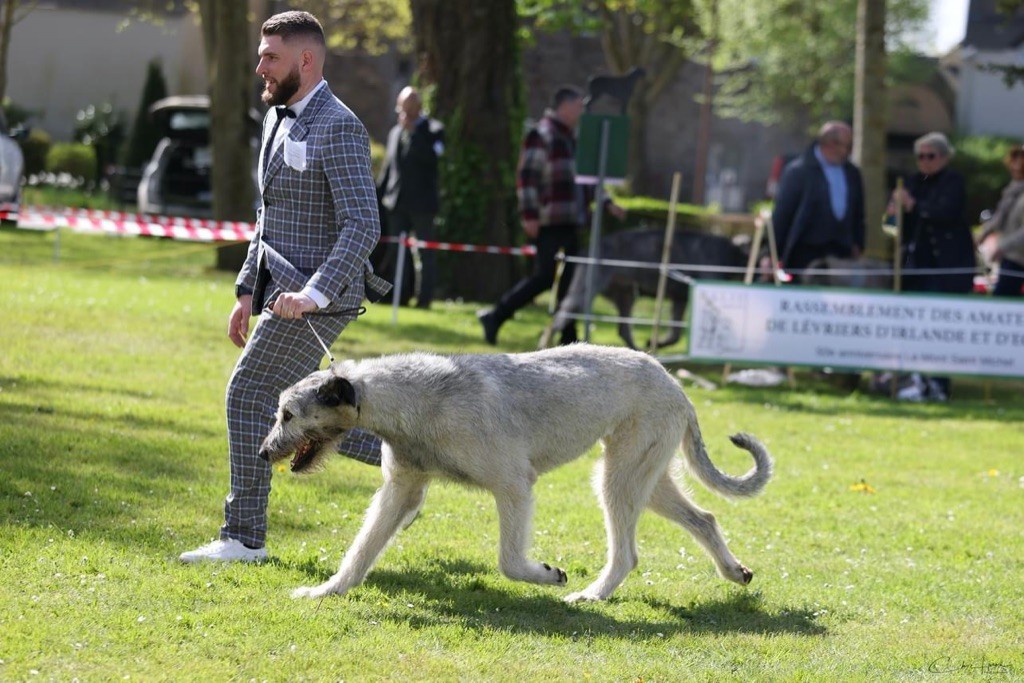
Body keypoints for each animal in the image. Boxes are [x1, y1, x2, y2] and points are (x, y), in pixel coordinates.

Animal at [260, 344, 770, 602]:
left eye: (288, 414)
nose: (264, 452)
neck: (406, 396)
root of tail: (674, 383)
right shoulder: (401, 488)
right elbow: (362, 550)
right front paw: (327, 589)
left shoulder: (513, 486)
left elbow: (508, 560)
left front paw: (546, 574)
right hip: (645, 474)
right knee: (704, 518)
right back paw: (733, 571)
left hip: (620, 477)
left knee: (626, 553)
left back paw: (592, 594)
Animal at [548, 228, 749, 350]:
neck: (733, 253)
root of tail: (585, 250)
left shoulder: (680, 300)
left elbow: (675, 334)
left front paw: (656, 342)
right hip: (585, 291)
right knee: (559, 318)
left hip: (626, 295)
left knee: (623, 329)